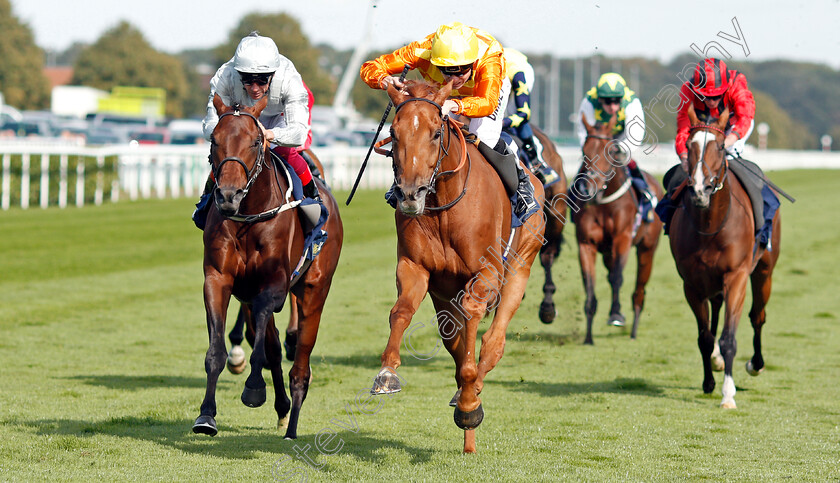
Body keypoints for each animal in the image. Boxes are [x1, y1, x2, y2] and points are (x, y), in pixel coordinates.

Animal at [194, 93, 344, 438]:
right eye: (214, 139)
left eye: (255, 142)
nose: (228, 195)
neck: (249, 215)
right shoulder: (219, 279)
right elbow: (218, 350)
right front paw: (206, 415)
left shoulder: (274, 287)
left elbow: (263, 342)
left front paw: (253, 388)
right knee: (273, 347)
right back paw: (283, 408)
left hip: (315, 289)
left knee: (300, 364)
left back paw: (292, 425)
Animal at [372, 79, 544, 454]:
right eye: (393, 132)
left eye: (437, 133)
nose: (410, 194)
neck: (444, 206)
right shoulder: (415, 266)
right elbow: (401, 311)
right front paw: (387, 373)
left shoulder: (487, 273)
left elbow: (473, 328)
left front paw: (468, 405)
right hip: (443, 296)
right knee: (454, 338)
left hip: (521, 266)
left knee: (493, 342)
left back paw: (471, 398)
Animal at [572, 114, 664, 344]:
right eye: (584, 150)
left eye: (612, 151)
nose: (589, 189)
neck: (604, 203)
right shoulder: (586, 244)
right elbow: (589, 282)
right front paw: (588, 336)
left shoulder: (622, 239)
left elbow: (617, 278)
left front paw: (614, 314)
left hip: (647, 249)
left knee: (639, 290)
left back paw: (633, 330)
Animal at [668, 105, 780, 408]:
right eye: (688, 146)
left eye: (719, 146)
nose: (699, 190)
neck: (711, 224)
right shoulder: (691, 284)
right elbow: (705, 337)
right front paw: (709, 382)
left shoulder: (737, 276)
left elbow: (730, 336)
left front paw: (728, 395)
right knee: (716, 312)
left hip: (764, 270)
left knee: (758, 316)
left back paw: (756, 364)